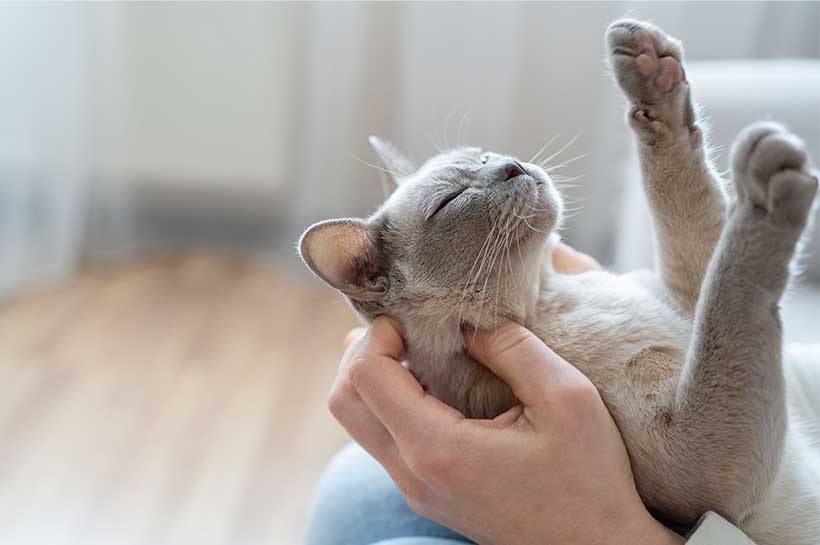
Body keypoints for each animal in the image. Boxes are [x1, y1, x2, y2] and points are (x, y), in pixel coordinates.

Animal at [300, 17, 820, 544]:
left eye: (484, 156)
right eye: (453, 201)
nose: (511, 165)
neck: (547, 298)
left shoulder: (687, 296)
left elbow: (687, 207)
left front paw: (648, 69)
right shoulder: (699, 473)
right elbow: (731, 286)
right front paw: (765, 187)